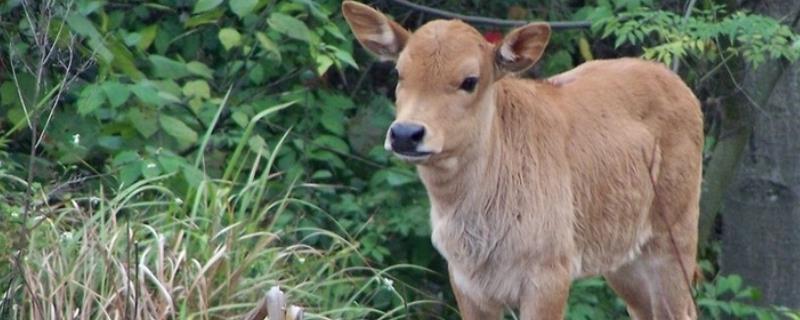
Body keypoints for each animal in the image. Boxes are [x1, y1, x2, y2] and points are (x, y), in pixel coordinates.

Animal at [340, 1, 704, 318]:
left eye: (469, 80)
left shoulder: (550, 274)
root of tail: (682, 88)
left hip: (675, 236)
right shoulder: (465, 281)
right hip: (623, 257)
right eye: (399, 72)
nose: (405, 133)